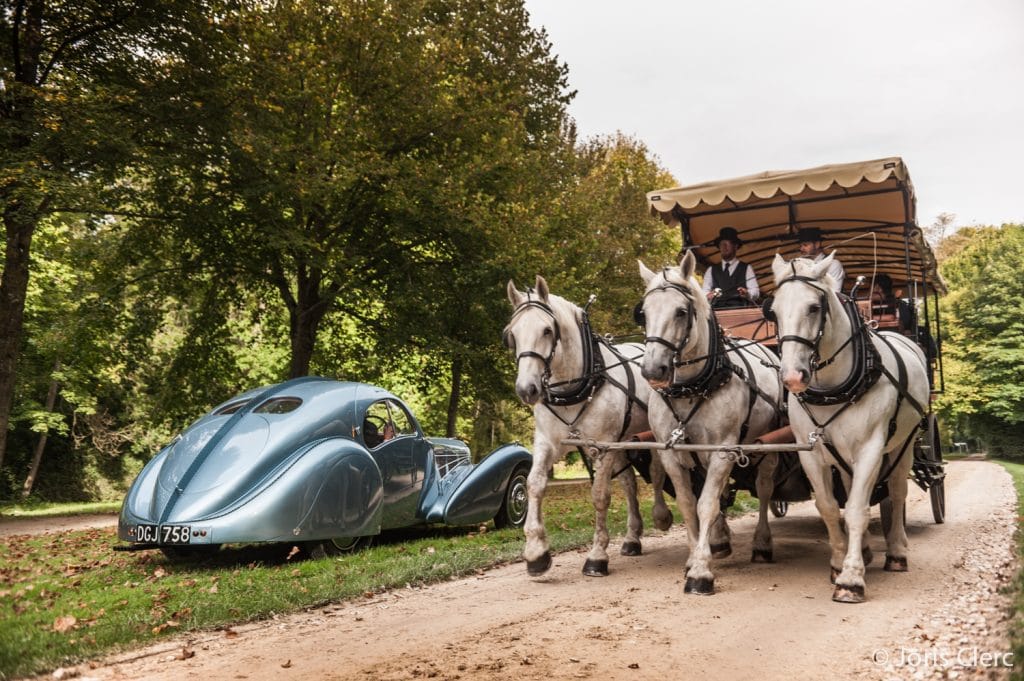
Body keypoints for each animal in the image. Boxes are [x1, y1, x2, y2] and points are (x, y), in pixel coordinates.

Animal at [503, 274, 671, 577]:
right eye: (512, 334)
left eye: (547, 330)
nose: (526, 389)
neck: (577, 384)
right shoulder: (547, 442)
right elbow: (534, 485)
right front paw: (536, 552)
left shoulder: (602, 445)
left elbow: (600, 496)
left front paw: (597, 555)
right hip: (622, 440)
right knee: (629, 483)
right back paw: (632, 537)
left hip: (646, 435)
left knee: (655, 471)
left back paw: (661, 516)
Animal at [638, 251, 782, 593]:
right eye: (643, 313)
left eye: (681, 312)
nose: (653, 370)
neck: (692, 388)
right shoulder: (672, 454)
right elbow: (689, 504)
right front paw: (695, 556)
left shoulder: (723, 450)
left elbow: (706, 504)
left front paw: (701, 571)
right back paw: (719, 538)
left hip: (768, 448)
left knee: (764, 489)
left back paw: (761, 543)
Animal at [770, 253, 929, 602]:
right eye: (772, 310)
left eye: (814, 307)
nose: (792, 377)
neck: (833, 387)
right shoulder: (811, 452)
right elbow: (829, 507)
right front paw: (839, 562)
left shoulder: (871, 447)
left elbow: (857, 508)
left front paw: (851, 579)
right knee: (851, 483)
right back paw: (867, 550)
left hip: (904, 444)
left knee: (897, 492)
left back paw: (896, 552)